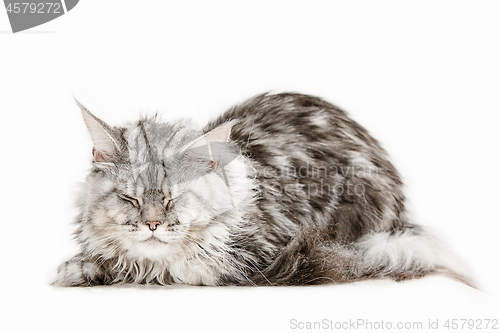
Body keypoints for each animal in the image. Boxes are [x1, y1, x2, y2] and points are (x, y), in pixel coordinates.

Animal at [51, 92, 472, 286]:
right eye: (130, 197)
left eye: (175, 198)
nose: (152, 225)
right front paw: (79, 268)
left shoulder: (262, 253)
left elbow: (175, 268)